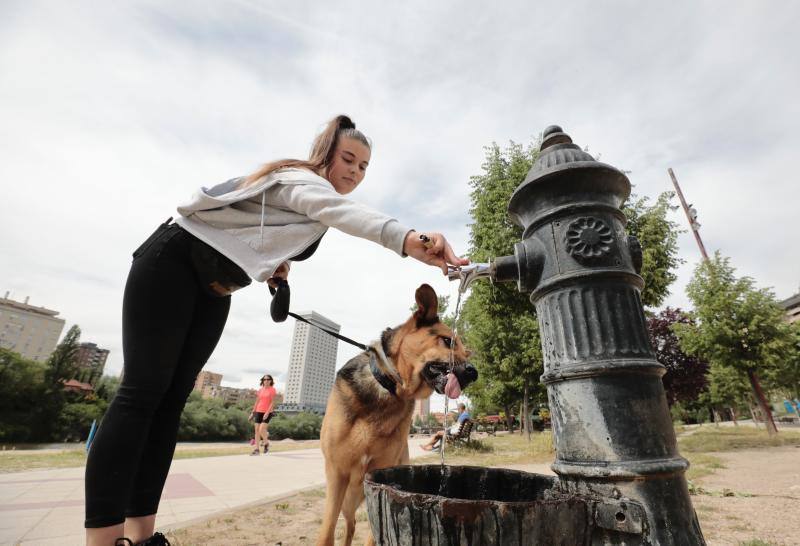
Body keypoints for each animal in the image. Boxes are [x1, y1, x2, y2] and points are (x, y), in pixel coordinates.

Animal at [318, 284, 476, 544]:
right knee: (348, 525)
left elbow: (374, 536)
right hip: (346, 497)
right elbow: (326, 532)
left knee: (352, 525)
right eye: (447, 341)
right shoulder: (336, 474)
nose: (474, 373)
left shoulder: (378, 478)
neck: (390, 386)